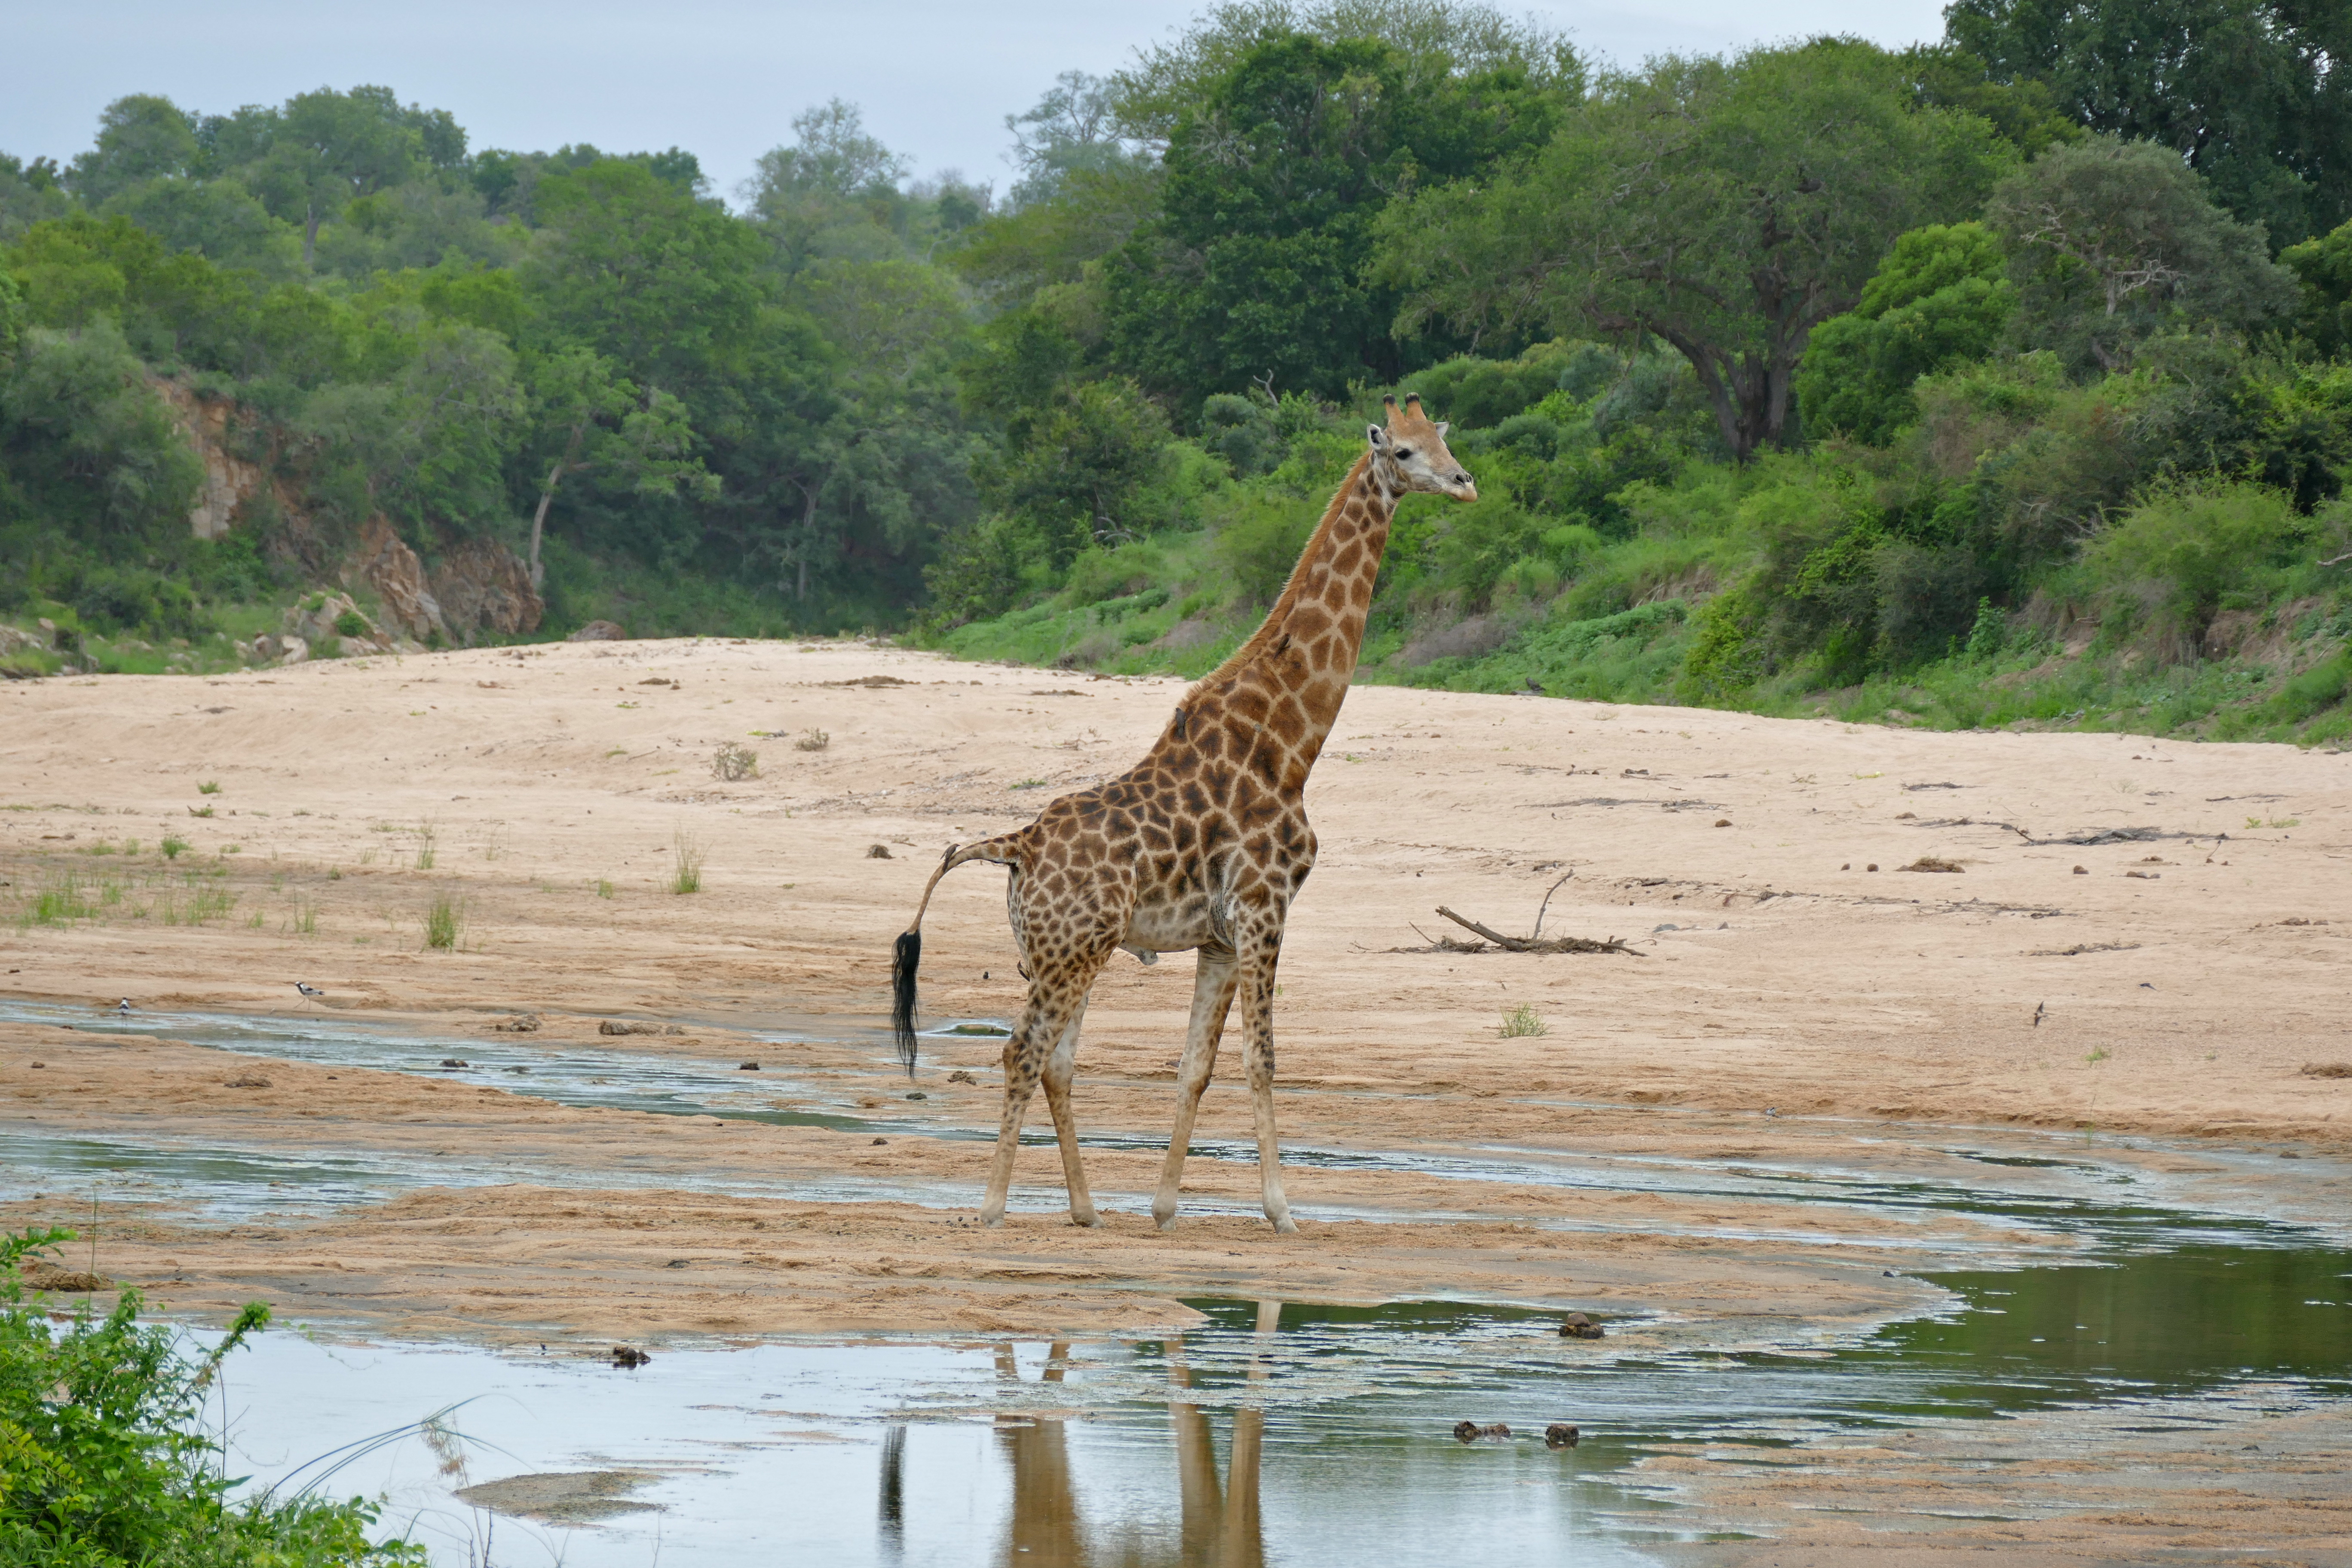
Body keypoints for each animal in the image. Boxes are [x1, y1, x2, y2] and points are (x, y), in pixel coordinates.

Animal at [889, 390, 1477, 1222]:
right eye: (1402, 451)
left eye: (1444, 441)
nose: (1464, 484)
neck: (1289, 745)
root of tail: (1018, 842)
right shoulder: (1265, 910)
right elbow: (1262, 1058)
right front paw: (1281, 1210)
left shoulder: (1220, 936)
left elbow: (1196, 1064)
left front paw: (1165, 1208)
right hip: (1073, 951)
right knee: (1021, 1051)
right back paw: (994, 1206)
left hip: (1065, 951)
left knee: (1056, 1060)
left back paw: (1086, 1208)